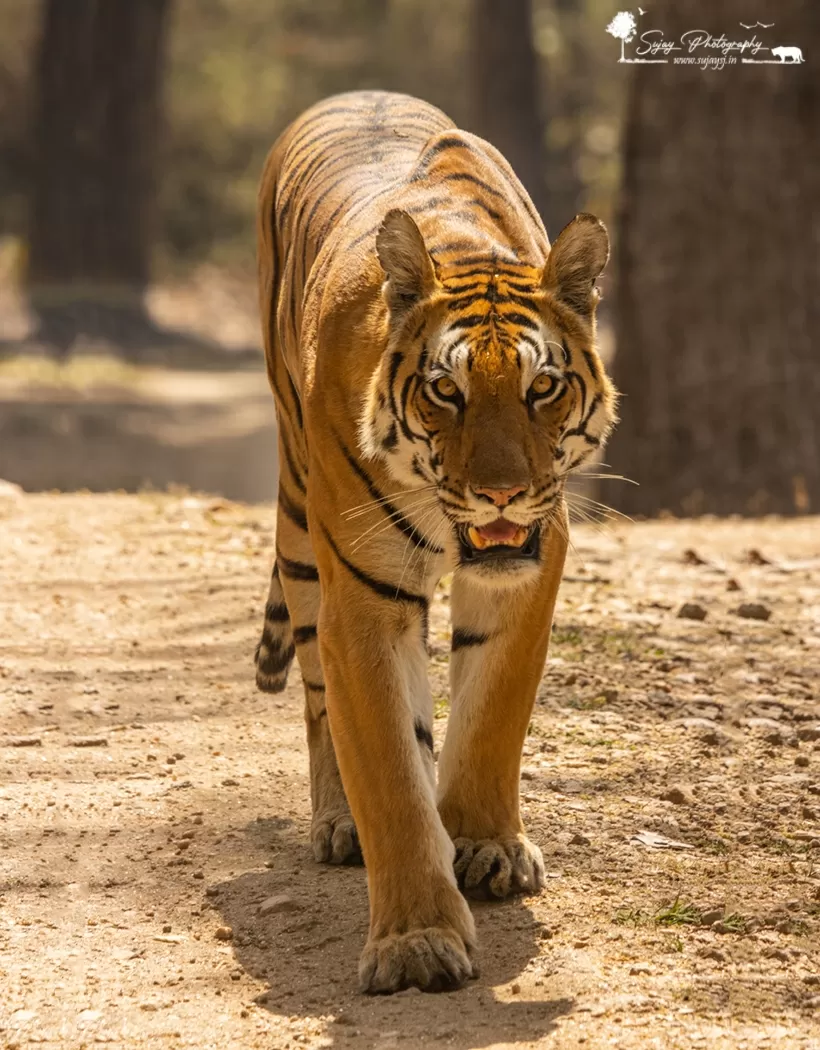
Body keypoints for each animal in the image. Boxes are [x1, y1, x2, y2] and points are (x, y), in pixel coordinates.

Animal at [253, 90, 617, 991]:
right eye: (445, 391)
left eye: (542, 386)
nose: (502, 493)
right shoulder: (364, 601)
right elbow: (387, 769)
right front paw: (416, 940)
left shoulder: (528, 568)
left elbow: (492, 712)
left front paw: (484, 843)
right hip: (303, 532)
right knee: (318, 696)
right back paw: (338, 822)